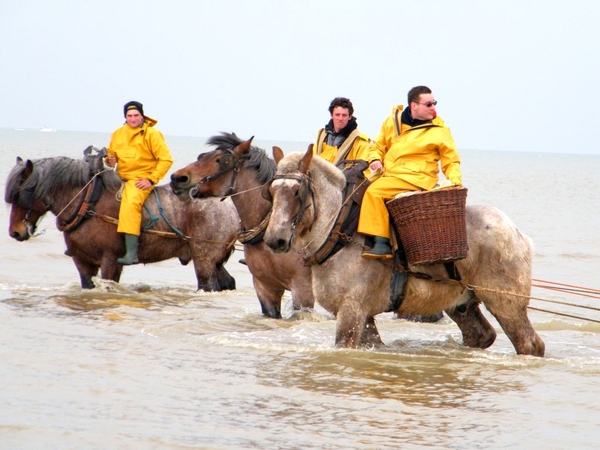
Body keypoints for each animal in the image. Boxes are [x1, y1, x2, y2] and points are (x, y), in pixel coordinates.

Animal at [5, 145, 239, 292]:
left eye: (22, 193)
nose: (15, 232)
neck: (89, 203)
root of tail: (229, 206)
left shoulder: (110, 260)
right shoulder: (82, 262)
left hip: (204, 260)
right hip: (215, 261)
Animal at [264, 144, 548, 356]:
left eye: (297, 191)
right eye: (271, 191)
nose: (274, 240)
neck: (340, 229)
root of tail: (518, 234)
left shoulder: (351, 312)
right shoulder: (363, 316)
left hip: (507, 305)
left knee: (530, 344)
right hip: (462, 304)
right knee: (481, 335)